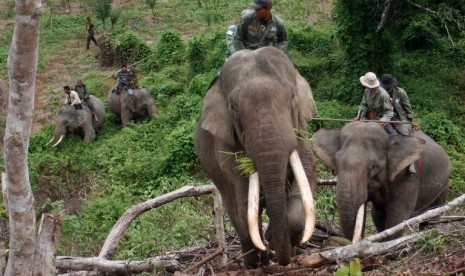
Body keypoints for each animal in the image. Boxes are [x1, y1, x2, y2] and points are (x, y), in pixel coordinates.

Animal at [194, 47, 318, 268]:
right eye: (233, 107)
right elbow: (242, 195)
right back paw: (255, 262)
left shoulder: (301, 131)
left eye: (292, 96)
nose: (282, 259)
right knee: (237, 207)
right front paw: (267, 245)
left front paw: (275, 241)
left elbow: (307, 169)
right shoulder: (225, 145)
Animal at [312, 122, 450, 242]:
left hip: (444, 185)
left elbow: (399, 214)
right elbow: (377, 215)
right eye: (336, 162)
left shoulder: (406, 174)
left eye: (374, 167)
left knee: (434, 214)